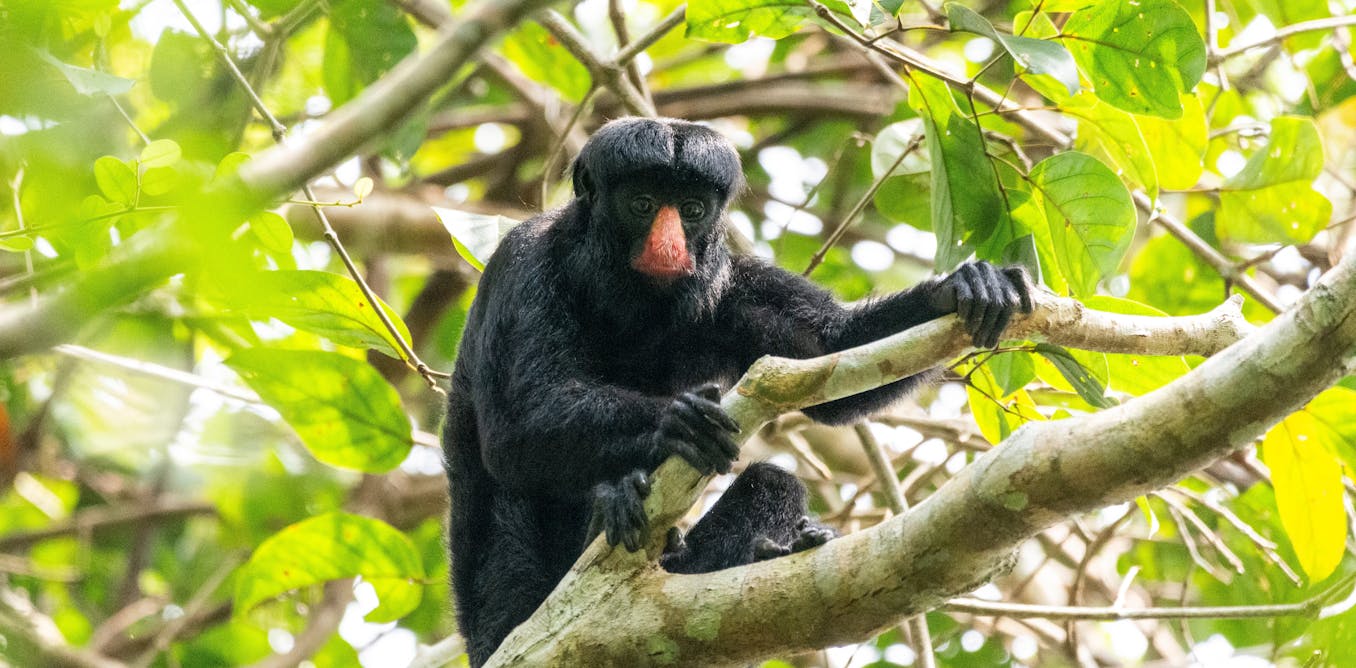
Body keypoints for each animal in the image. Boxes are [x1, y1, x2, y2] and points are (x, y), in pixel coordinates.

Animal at [442, 117, 1032, 665]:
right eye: (642, 204)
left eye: (692, 210)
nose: (669, 248)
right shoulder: (523, 263)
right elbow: (514, 430)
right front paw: (677, 423)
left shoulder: (729, 282)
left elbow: (832, 352)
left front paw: (957, 289)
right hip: (506, 607)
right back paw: (611, 511)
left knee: (774, 482)